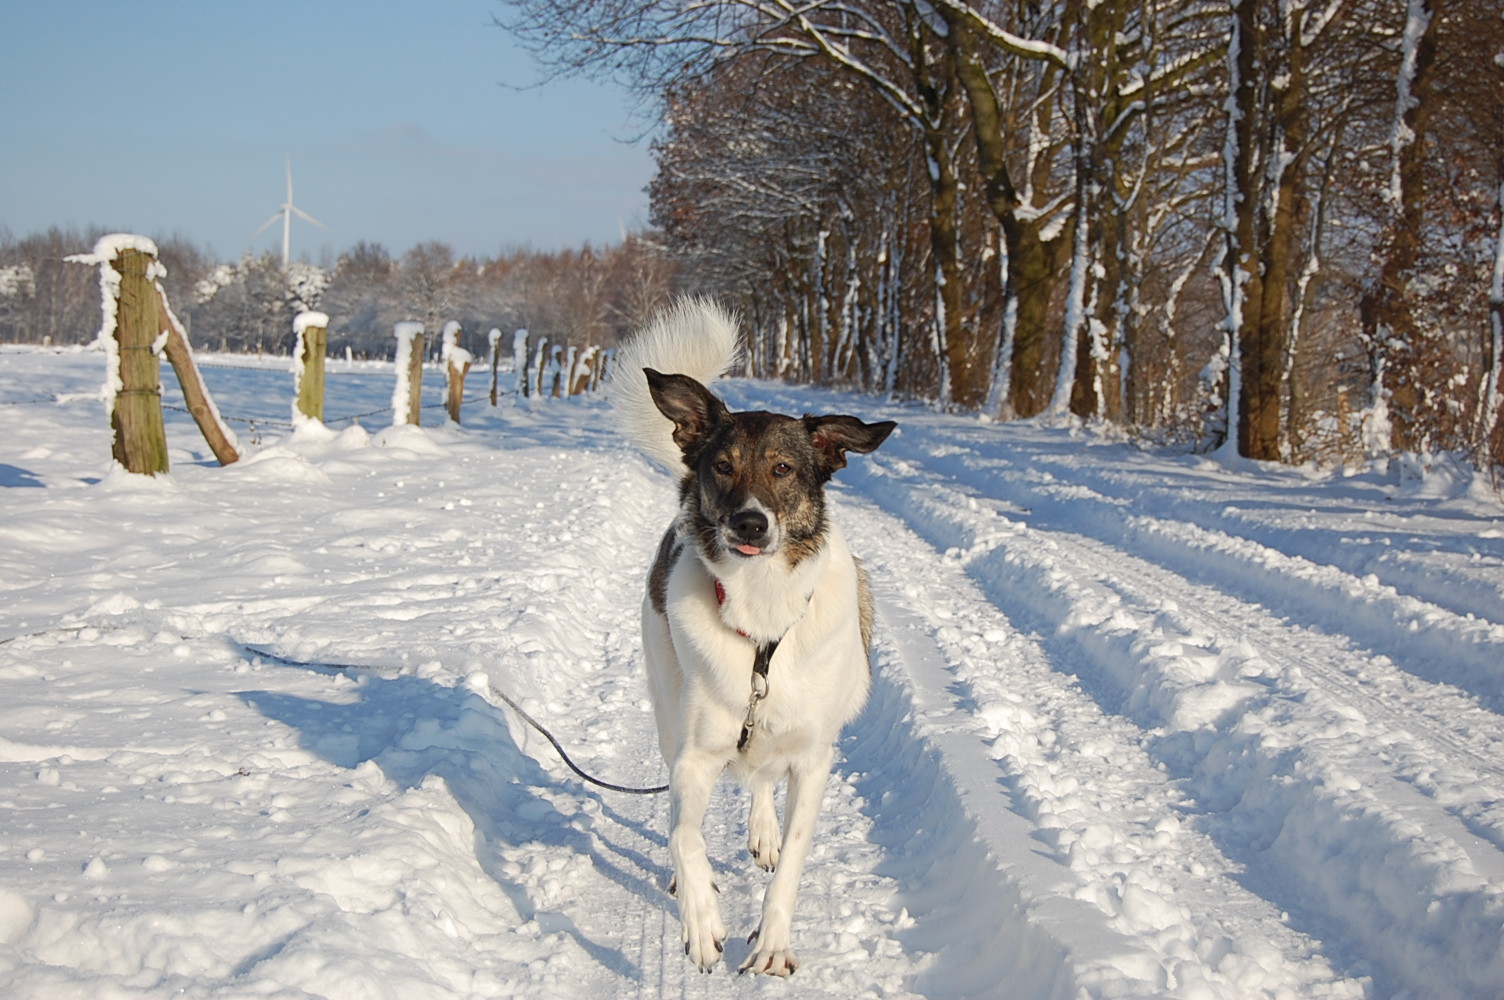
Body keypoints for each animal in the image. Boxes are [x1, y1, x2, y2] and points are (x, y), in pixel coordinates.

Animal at [610, 297, 890, 974]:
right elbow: (684, 833)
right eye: (723, 467)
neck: (763, 611)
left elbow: (793, 857)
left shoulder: (814, 760)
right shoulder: (695, 756)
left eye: (784, 469)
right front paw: (702, 920)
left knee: (763, 778)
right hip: (667, 706)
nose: (749, 523)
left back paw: (762, 831)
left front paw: (772, 941)